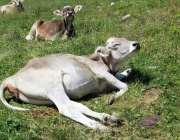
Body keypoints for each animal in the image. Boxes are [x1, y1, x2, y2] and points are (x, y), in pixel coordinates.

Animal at [0, 37, 140, 130]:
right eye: (116, 44)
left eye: (126, 38)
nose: (136, 44)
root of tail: (12, 77)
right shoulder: (101, 73)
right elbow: (124, 86)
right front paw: (113, 97)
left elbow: (121, 78)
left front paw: (127, 71)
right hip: (53, 87)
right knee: (67, 109)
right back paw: (101, 127)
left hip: (43, 98)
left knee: (77, 106)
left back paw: (107, 118)